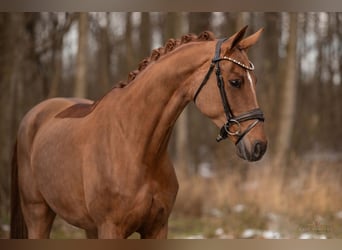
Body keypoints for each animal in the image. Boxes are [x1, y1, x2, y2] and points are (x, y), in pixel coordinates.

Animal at [10, 26, 268, 239]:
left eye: (255, 80)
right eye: (235, 82)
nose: (259, 146)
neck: (135, 145)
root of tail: (33, 115)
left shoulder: (157, 228)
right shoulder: (111, 229)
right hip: (38, 215)